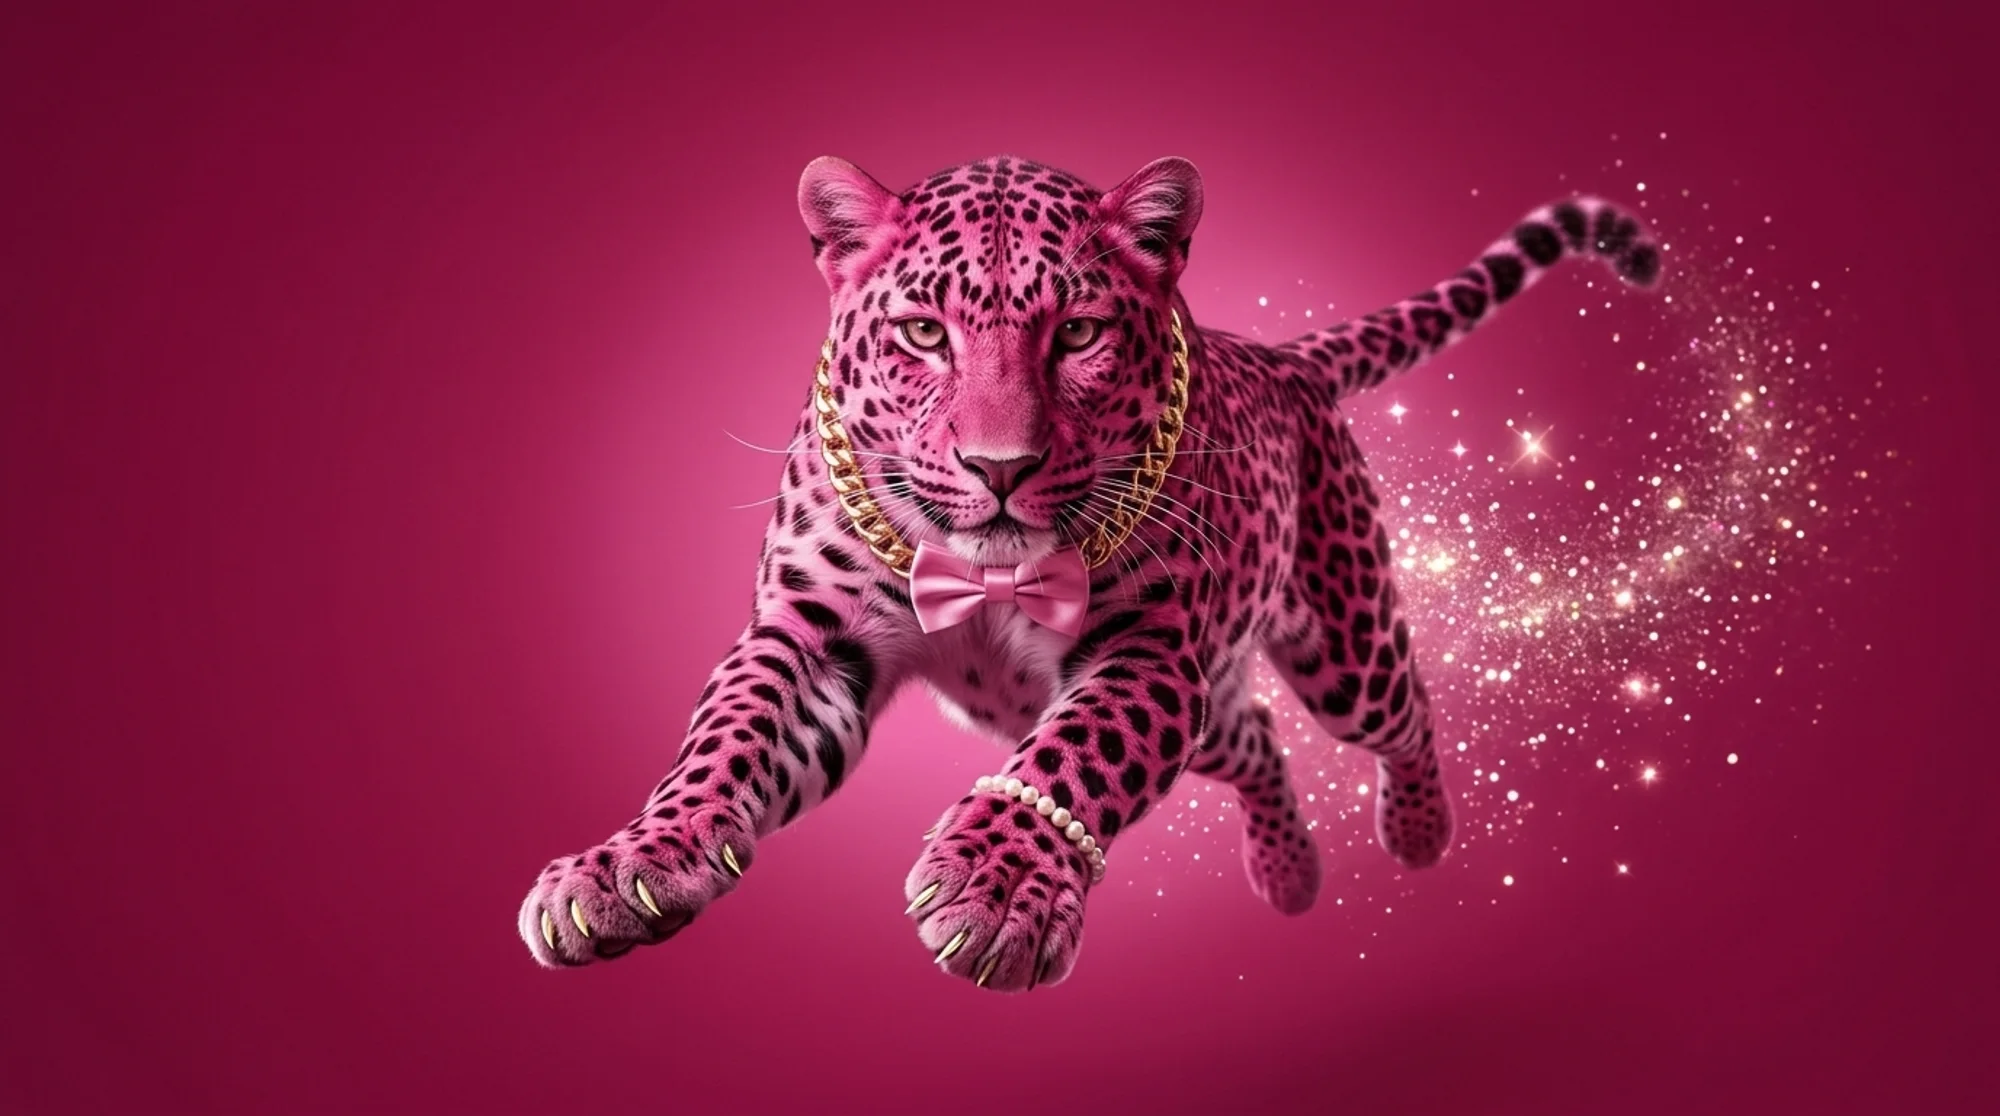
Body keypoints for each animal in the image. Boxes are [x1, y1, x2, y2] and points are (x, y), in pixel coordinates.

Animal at [518, 154, 1661, 991]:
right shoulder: (809, 632)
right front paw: (632, 861)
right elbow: (727, 736)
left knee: (1403, 707)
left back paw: (1418, 833)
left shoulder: (1146, 650)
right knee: (1254, 738)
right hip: (1216, 696)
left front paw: (996, 889)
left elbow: (1072, 755)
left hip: (1340, 640)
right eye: (923, 333)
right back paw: (1288, 875)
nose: (999, 467)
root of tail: (1281, 359)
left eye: (1076, 333)